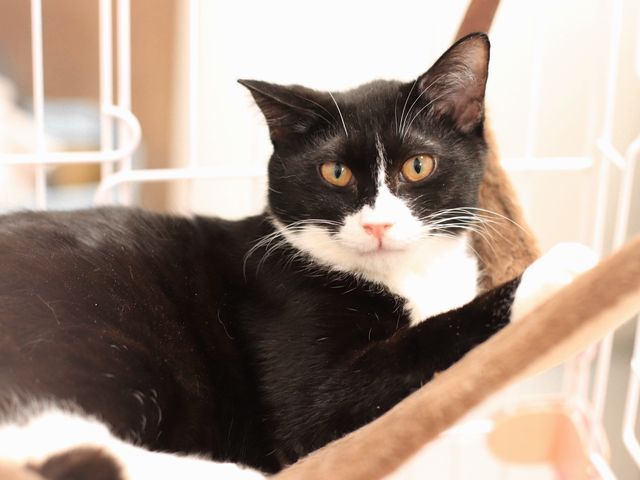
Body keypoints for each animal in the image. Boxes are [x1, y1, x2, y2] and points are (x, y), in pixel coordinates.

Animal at [0, 33, 596, 480]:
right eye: (335, 172)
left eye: (418, 165)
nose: (377, 223)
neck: (408, 275)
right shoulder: (288, 320)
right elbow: (414, 348)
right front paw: (551, 275)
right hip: (91, 336)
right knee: (61, 443)